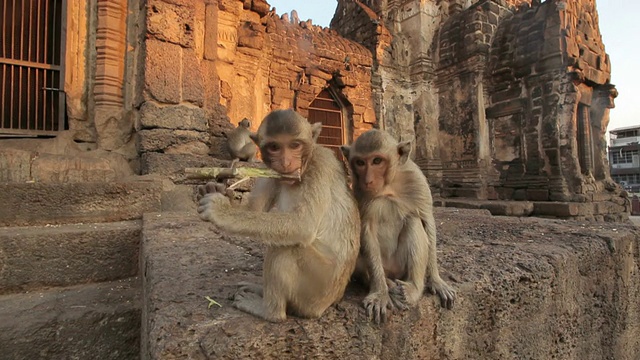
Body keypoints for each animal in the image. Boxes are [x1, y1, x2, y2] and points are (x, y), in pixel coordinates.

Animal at [198, 108, 360, 322]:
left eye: (295, 145)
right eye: (274, 147)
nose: (285, 162)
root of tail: (330, 302)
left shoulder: (321, 164)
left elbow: (303, 225)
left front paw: (220, 210)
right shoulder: (270, 171)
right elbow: (254, 210)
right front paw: (214, 189)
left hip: (316, 291)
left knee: (285, 248)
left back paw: (269, 311)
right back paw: (260, 290)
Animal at [340, 129, 456, 324]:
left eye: (377, 161)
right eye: (360, 162)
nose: (368, 180)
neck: (388, 188)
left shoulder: (416, 180)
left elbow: (427, 221)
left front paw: (437, 281)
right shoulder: (358, 192)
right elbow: (366, 231)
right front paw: (380, 293)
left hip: (400, 266)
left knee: (413, 221)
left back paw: (411, 289)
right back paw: (386, 283)